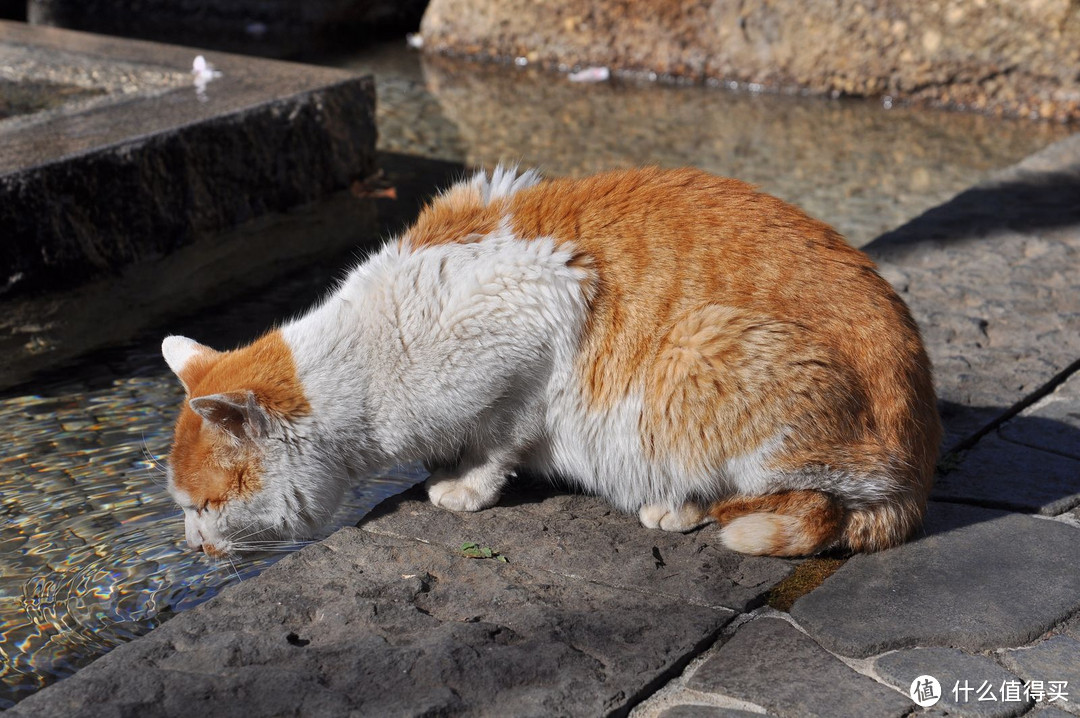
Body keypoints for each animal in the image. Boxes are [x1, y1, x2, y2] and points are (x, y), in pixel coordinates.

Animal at [159, 165, 937, 557]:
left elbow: (498, 441)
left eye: (205, 507)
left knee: (806, 507)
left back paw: (680, 504)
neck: (369, 367)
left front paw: (464, 485)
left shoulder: (538, 316)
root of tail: (918, 463)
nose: (192, 548)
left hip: (697, 353)